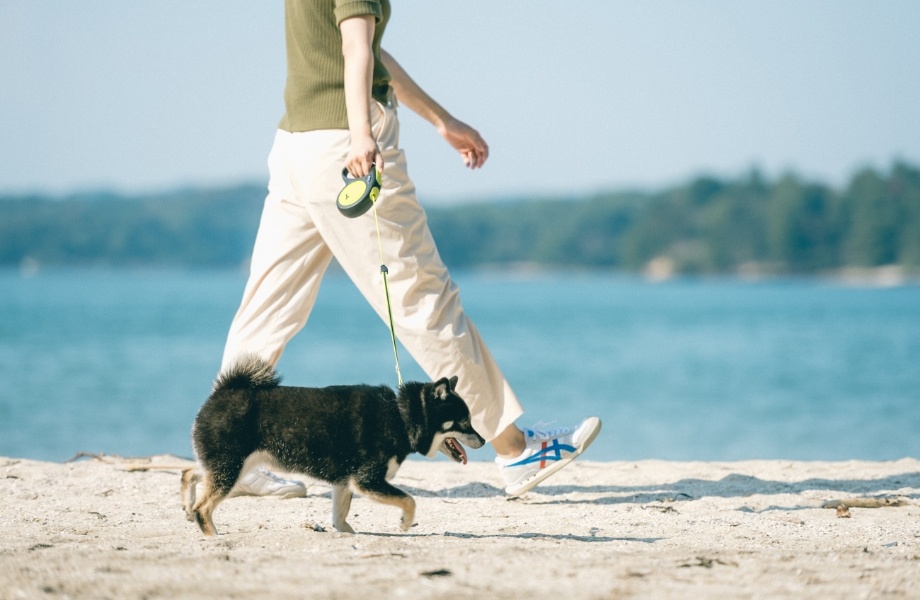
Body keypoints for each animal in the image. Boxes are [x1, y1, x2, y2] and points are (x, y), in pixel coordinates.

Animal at [176, 356, 486, 536]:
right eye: (465, 422)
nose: (483, 440)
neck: (400, 415)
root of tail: (222, 392)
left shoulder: (346, 480)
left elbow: (341, 513)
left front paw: (345, 532)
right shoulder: (366, 479)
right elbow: (409, 500)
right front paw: (405, 523)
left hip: (229, 465)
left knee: (190, 473)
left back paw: (187, 506)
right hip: (230, 468)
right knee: (205, 506)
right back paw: (212, 535)